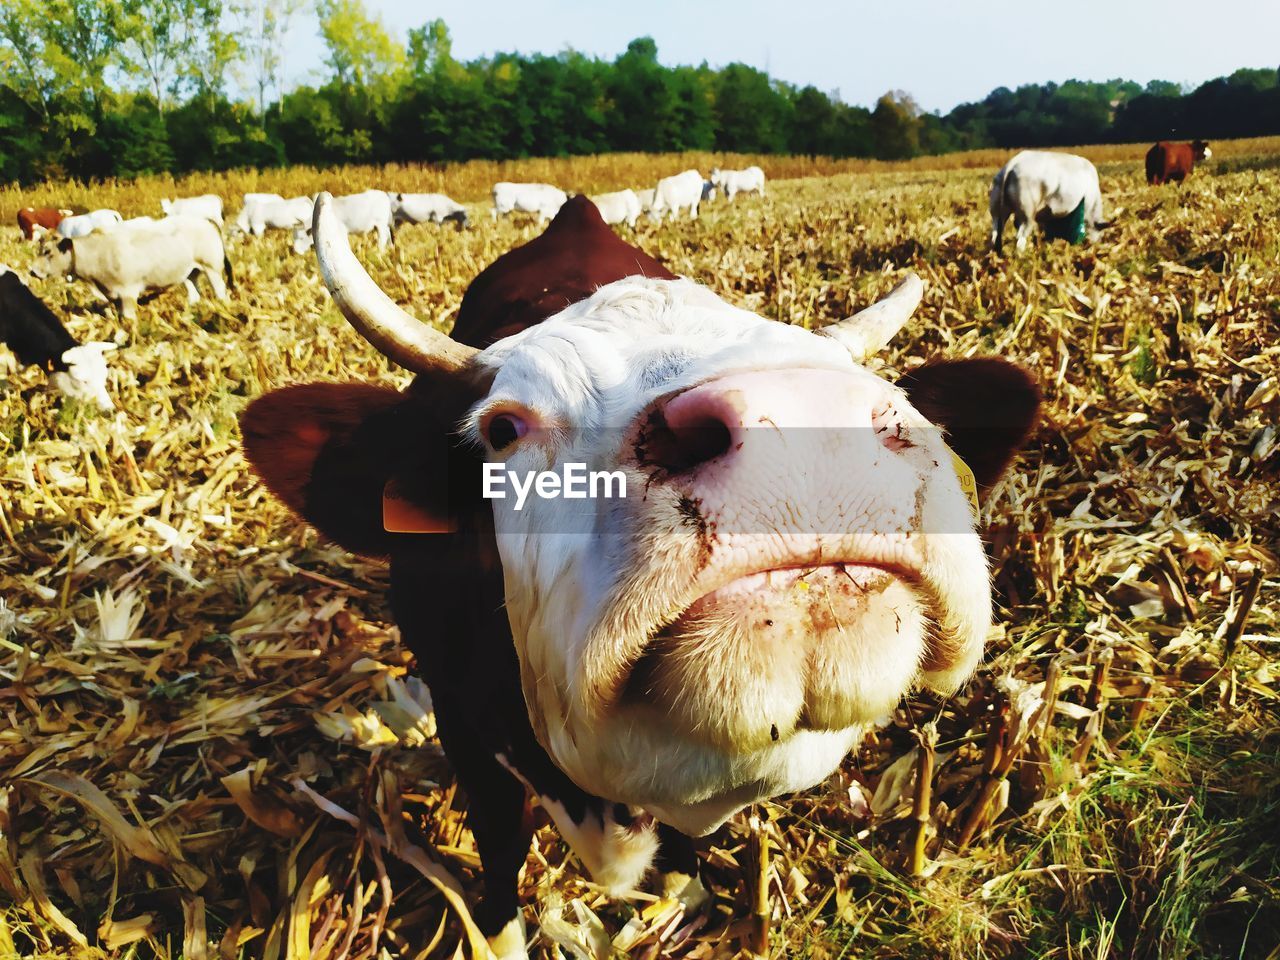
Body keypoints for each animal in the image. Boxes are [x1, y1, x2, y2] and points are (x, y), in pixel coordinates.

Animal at [31, 213, 234, 320]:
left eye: (48, 251)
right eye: (39, 249)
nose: (32, 271)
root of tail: (203, 218)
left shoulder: (128, 292)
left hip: (212, 268)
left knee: (220, 292)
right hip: (191, 272)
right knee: (195, 293)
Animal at [240, 195, 1039, 960]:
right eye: (502, 428)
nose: (804, 424)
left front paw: (681, 896)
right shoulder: (463, 726)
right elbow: (499, 845)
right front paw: (501, 933)